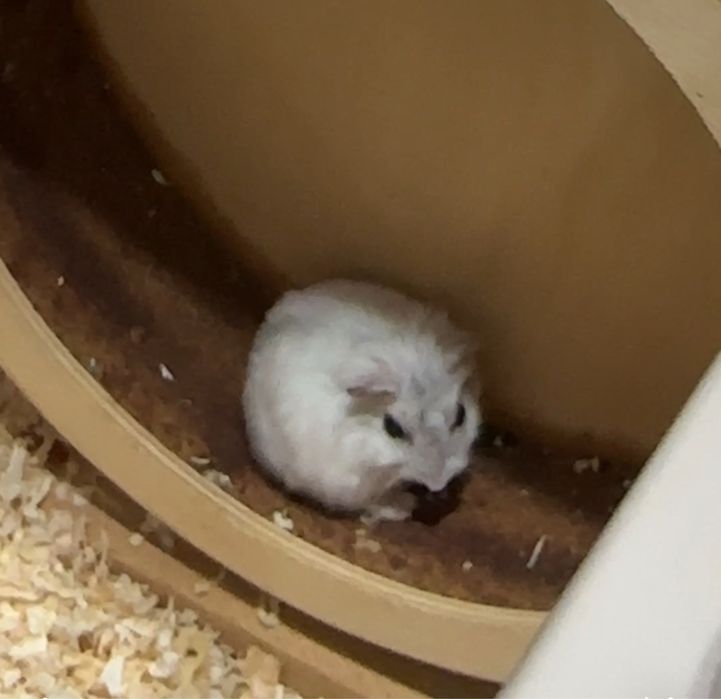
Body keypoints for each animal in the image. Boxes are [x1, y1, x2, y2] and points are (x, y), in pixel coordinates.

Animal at [242, 279, 481, 523]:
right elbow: (372, 501)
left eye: (461, 414)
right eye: (392, 428)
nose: (438, 484)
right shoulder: (348, 483)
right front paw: (404, 506)